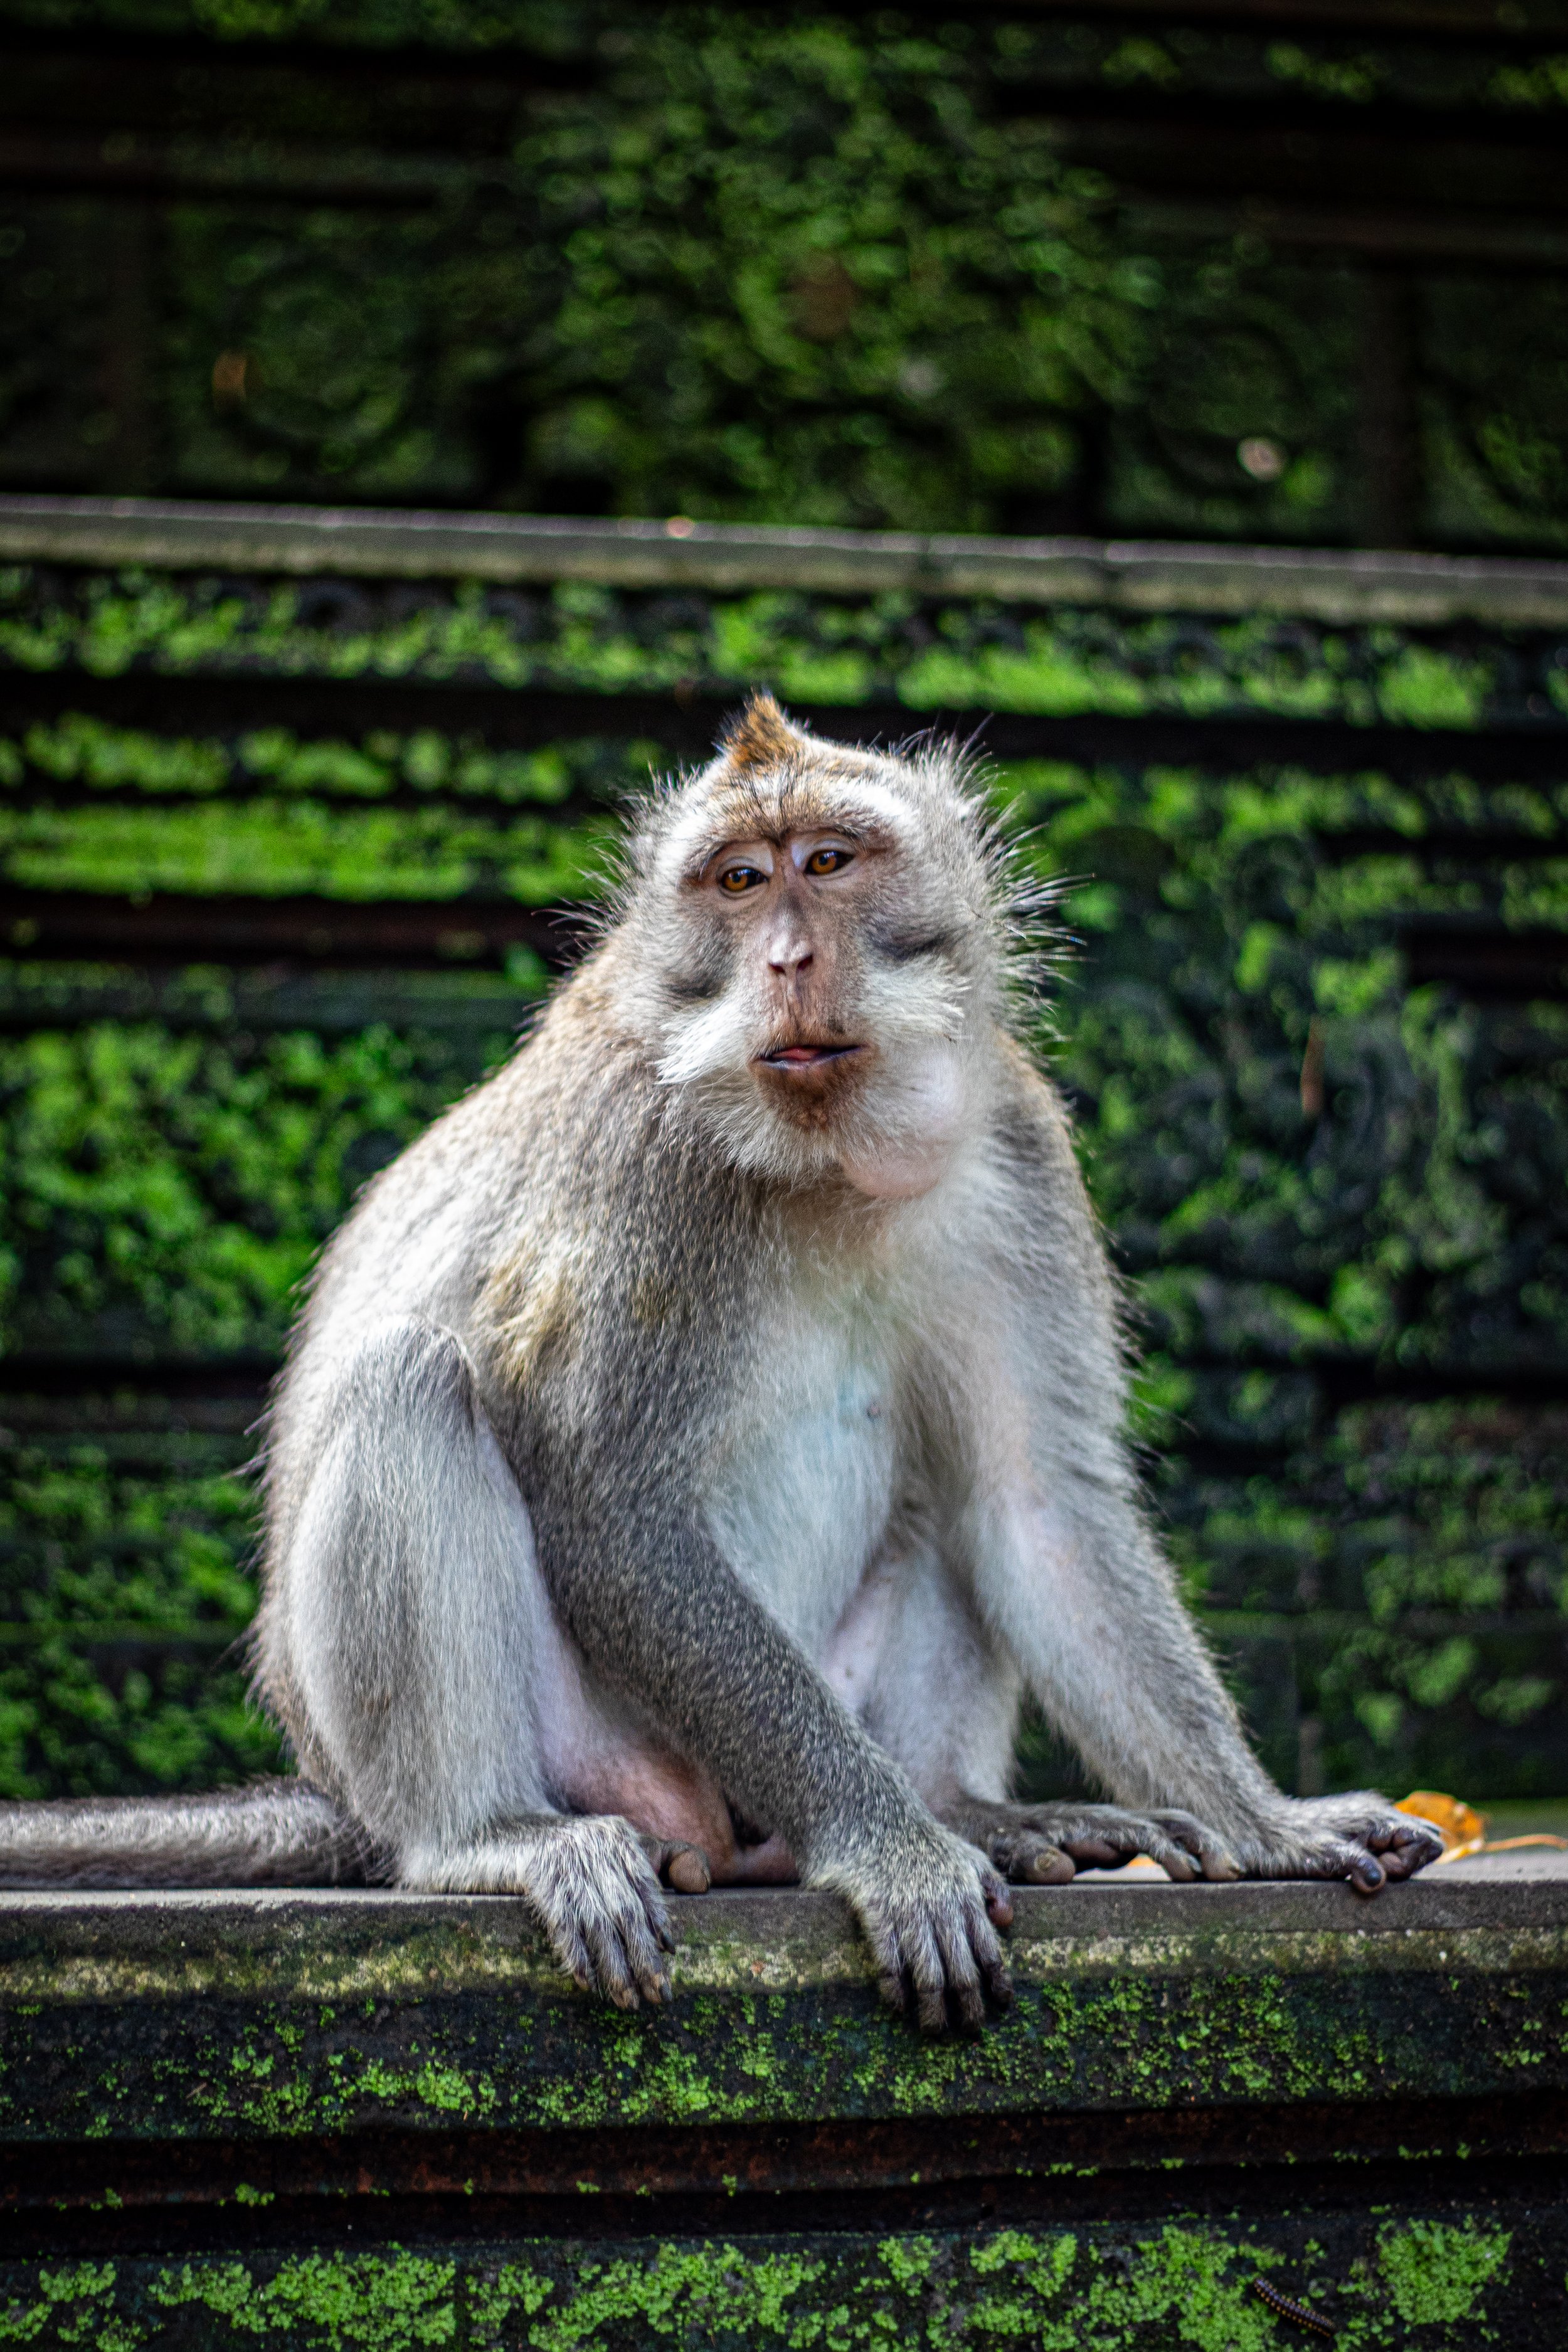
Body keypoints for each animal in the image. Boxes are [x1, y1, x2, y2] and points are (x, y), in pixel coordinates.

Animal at [0, 694, 1443, 2030]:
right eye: (739, 883)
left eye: (830, 861)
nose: (789, 958)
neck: (828, 1163)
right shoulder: (649, 1169)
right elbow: (614, 1511)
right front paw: (890, 1853)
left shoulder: (1017, 1150)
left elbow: (1035, 1505)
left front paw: (1270, 1823)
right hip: (580, 1756)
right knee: (409, 1384)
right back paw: (488, 1838)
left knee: (952, 1481)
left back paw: (976, 1810)